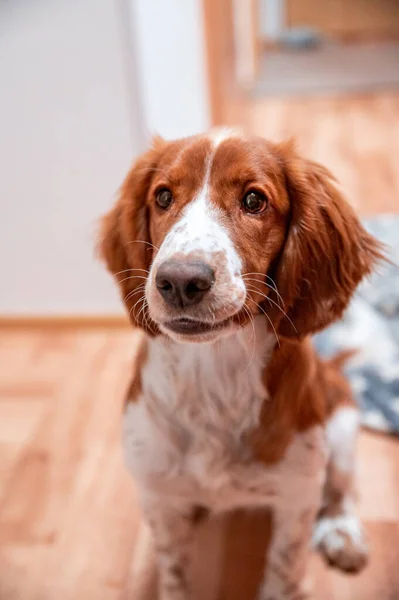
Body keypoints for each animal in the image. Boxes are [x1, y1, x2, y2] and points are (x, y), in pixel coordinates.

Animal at [98, 131, 382, 600]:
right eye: (163, 196)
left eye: (253, 200)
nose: (180, 281)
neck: (215, 372)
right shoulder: (157, 495)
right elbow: (174, 572)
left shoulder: (296, 495)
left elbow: (283, 570)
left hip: (341, 424)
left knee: (340, 489)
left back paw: (342, 535)